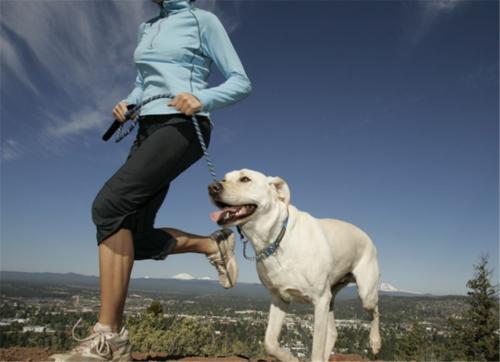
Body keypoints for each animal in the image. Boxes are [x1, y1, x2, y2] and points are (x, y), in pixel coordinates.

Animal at [209, 170, 380, 362]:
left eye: (245, 179)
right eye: (224, 178)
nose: (212, 187)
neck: (276, 239)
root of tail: (366, 236)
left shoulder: (320, 300)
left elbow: (316, 349)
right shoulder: (280, 298)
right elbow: (270, 342)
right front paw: (290, 358)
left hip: (365, 293)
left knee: (375, 311)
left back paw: (375, 342)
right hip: (331, 298)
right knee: (333, 332)